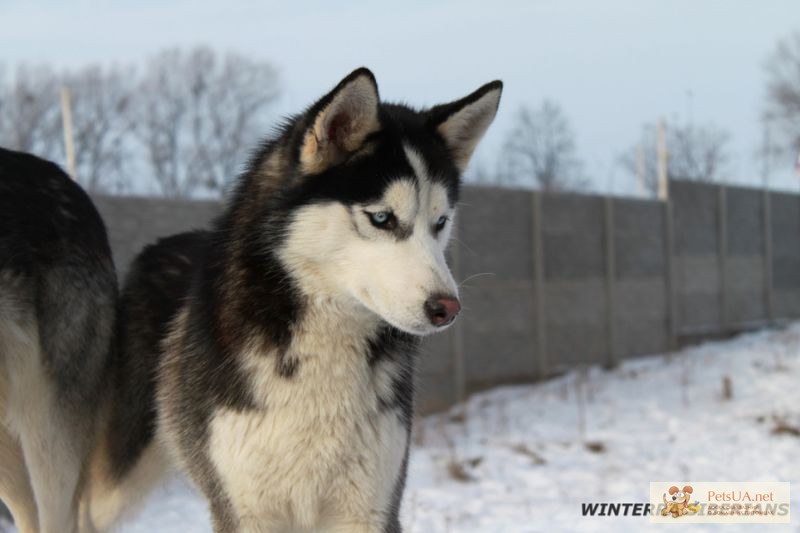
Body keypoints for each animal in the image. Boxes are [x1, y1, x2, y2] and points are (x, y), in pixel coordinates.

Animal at [83, 68, 500, 528]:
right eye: (382, 218)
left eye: (440, 222)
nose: (447, 308)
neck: (324, 346)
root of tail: (161, 244)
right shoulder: (246, 511)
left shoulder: (369, 508)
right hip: (116, 483)